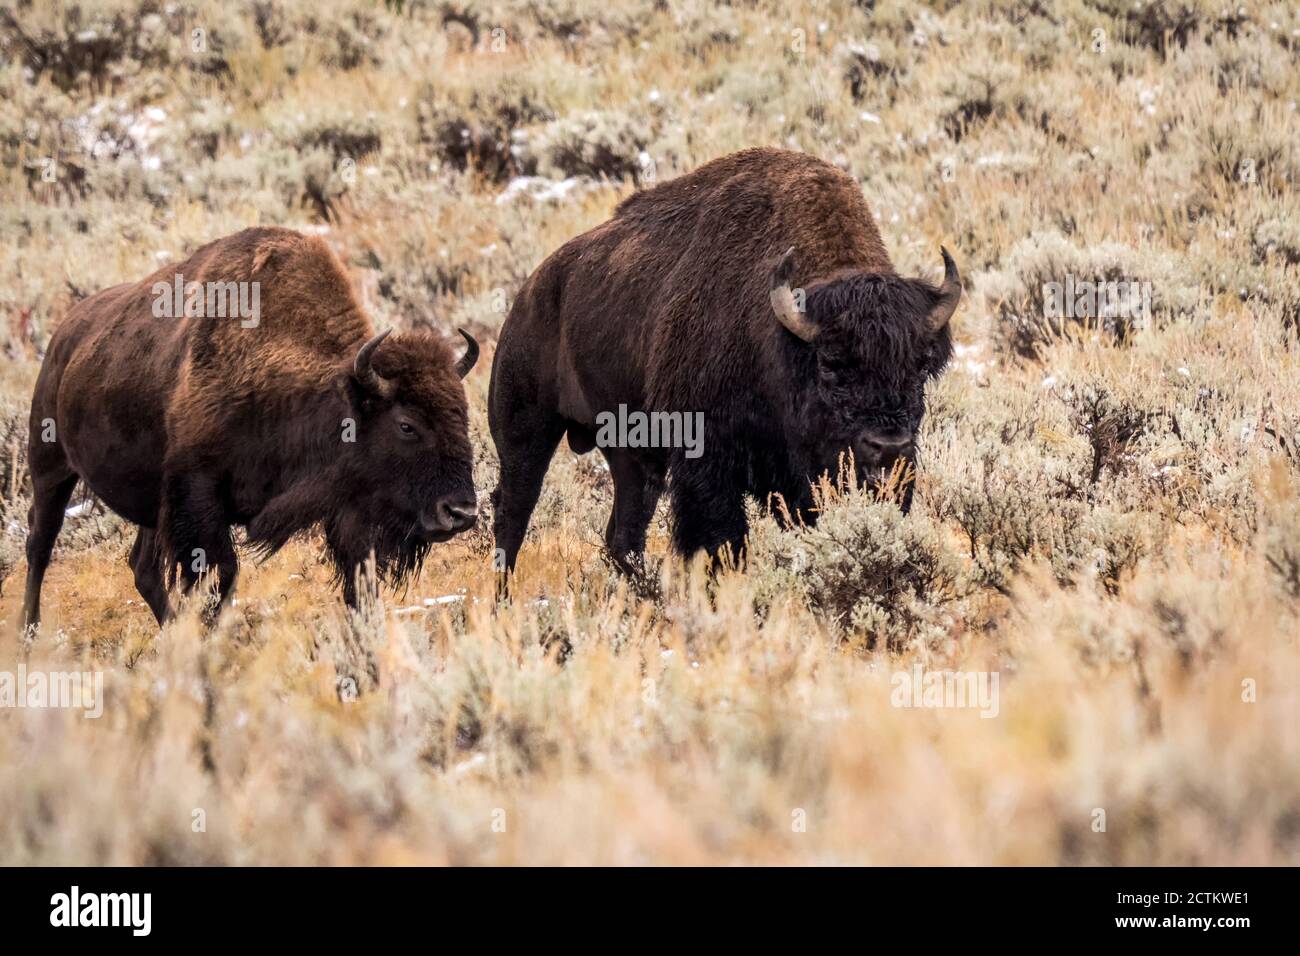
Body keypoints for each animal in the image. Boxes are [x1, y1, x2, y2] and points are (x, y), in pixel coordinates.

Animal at [21, 226, 479, 628]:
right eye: (406, 425)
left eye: (462, 414)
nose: (461, 512)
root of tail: (63, 337)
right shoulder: (198, 496)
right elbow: (219, 577)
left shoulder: (349, 510)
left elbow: (358, 584)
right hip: (50, 467)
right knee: (40, 543)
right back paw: (28, 632)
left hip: (149, 501)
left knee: (142, 567)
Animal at [489, 147, 960, 574]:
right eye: (830, 365)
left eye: (920, 366)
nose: (889, 448)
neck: (779, 337)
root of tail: (530, 290)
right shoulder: (707, 460)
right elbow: (722, 542)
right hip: (524, 432)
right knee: (513, 515)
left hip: (628, 453)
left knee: (623, 533)